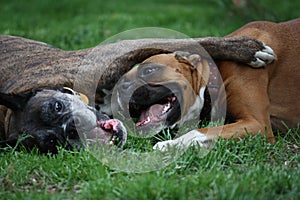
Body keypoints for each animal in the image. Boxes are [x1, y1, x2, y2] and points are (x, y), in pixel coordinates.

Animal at [115, 18, 298, 151]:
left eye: (149, 70)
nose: (121, 89)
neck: (216, 76)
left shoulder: (258, 124)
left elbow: (196, 132)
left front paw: (169, 144)